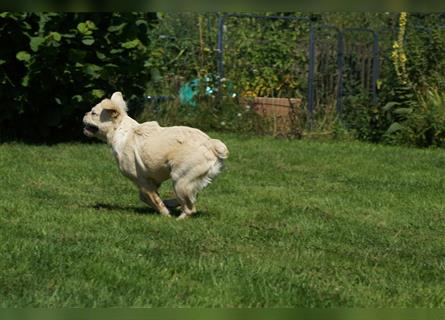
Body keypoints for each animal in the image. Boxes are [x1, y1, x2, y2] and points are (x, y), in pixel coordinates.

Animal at [83, 91, 229, 219]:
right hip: (188, 180)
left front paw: (165, 213)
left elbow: (150, 198)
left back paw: (178, 219)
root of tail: (211, 144)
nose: (84, 113)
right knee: (193, 197)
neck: (120, 130)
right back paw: (173, 204)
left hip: (180, 179)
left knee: (190, 208)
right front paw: (167, 206)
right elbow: (149, 197)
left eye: (93, 113)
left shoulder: (142, 181)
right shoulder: (151, 182)